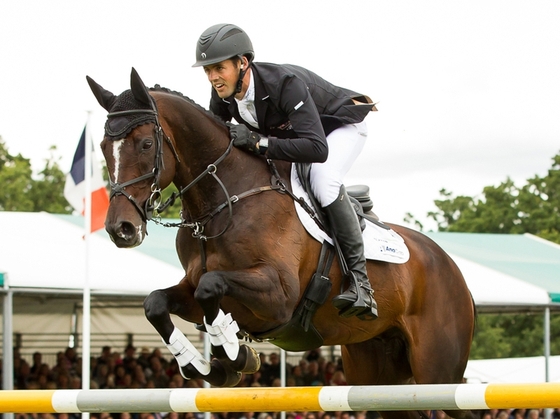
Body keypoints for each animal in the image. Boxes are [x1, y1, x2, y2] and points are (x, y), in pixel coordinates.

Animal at [87, 69, 476, 419]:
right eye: (104, 147)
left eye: (146, 143)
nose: (120, 229)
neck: (224, 200)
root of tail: (452, 268)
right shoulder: (194, 290)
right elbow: (157, 303)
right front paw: (208, 365)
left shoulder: (279, 297)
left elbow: (211, 286)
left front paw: (232, 353)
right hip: (376, 373)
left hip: (438, 371)